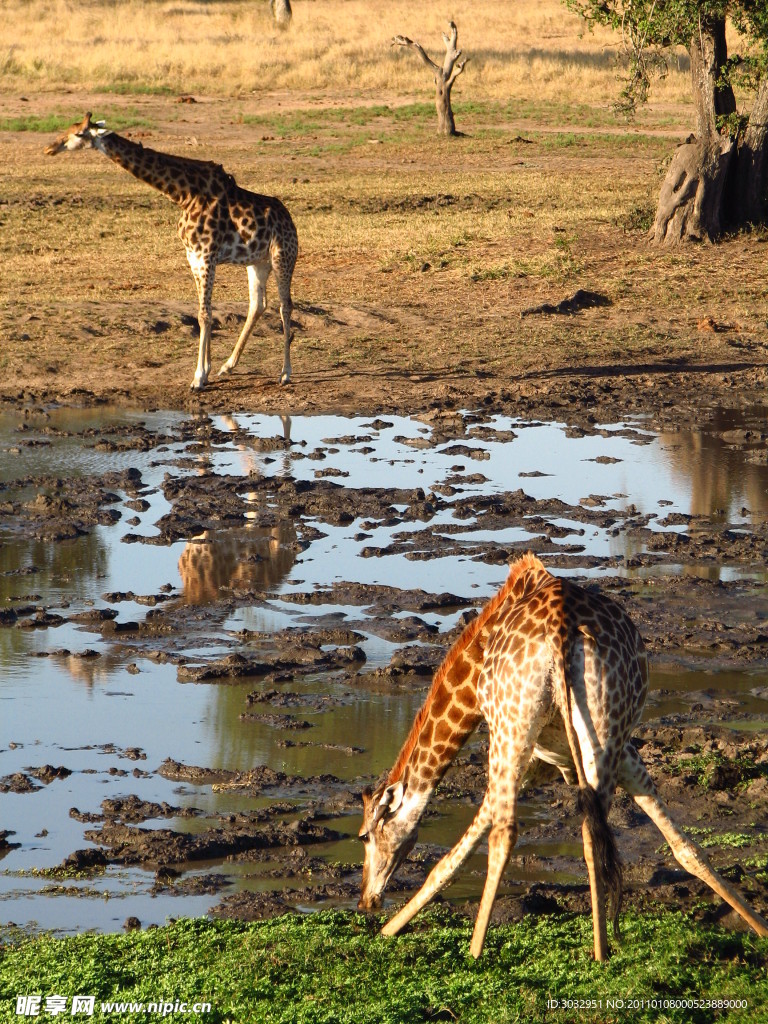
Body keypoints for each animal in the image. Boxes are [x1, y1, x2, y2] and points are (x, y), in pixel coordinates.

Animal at [44, 113, 296, 391]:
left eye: (78, 134)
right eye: (69, 128)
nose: (50, 148)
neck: (184, 195)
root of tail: (290, 220)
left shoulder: (206, 255)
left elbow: (204, 314)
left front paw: (198, 377)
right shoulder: (193, 257)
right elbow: (203, 313)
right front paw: (207, 370)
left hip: (283, 257)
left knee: (285, 306)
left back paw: (285, 373)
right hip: (257, 263)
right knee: (257, 304)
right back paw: (228, 365)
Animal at [360, 552, 768, 958]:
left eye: (364, 835)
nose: (367, 900)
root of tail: (559, 630)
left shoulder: (533, 759)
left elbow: (452, 858)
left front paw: (387, 931)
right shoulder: (609, 754)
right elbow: (685, 848)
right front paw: (760, 928)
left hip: (511, 731)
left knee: (506, 835)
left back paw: (476, 954)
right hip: (599, 731)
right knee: (592, 833)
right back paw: (601, 952)